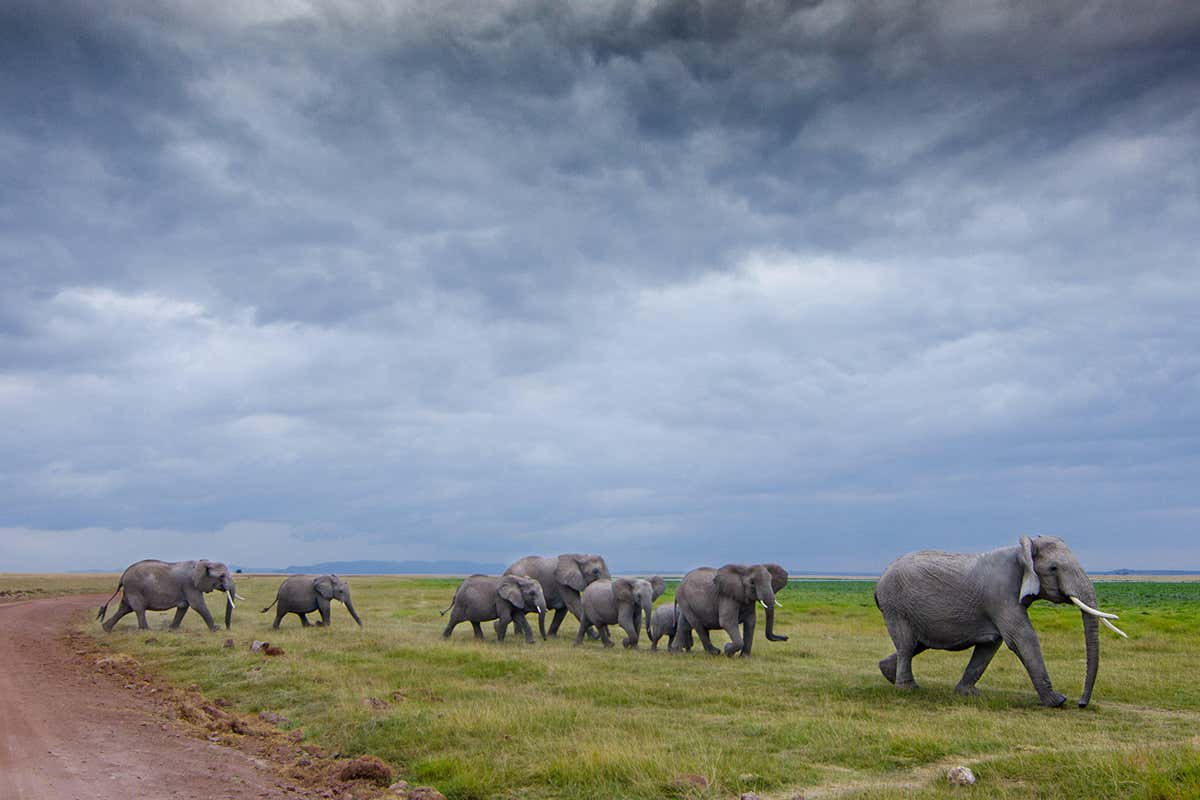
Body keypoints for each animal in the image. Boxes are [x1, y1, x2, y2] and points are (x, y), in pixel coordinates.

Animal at [98, 559, 239, 632]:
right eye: (222, 576)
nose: (228, 629)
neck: (204, 562)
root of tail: (122, 576)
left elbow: (184, 607)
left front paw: (172, 630)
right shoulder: (189, 585)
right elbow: (198, 605)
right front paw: (215, 629)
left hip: (130, 590)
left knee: (125, 608)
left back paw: (106, 628)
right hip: (134, 588)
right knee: (138, 609)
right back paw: (147, 631)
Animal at [874, 535, 1127, 708]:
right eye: (1053, 568)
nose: (1081, 704)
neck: (1022, 551)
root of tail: (879, 582)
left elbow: (990, 644)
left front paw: (968, 694)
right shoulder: (1001, 594)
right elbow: (1022, 637)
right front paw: (1057, 701)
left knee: (916, 644)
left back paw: (887, 673)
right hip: (896, 606)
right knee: (907, 644)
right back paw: (908, 689)